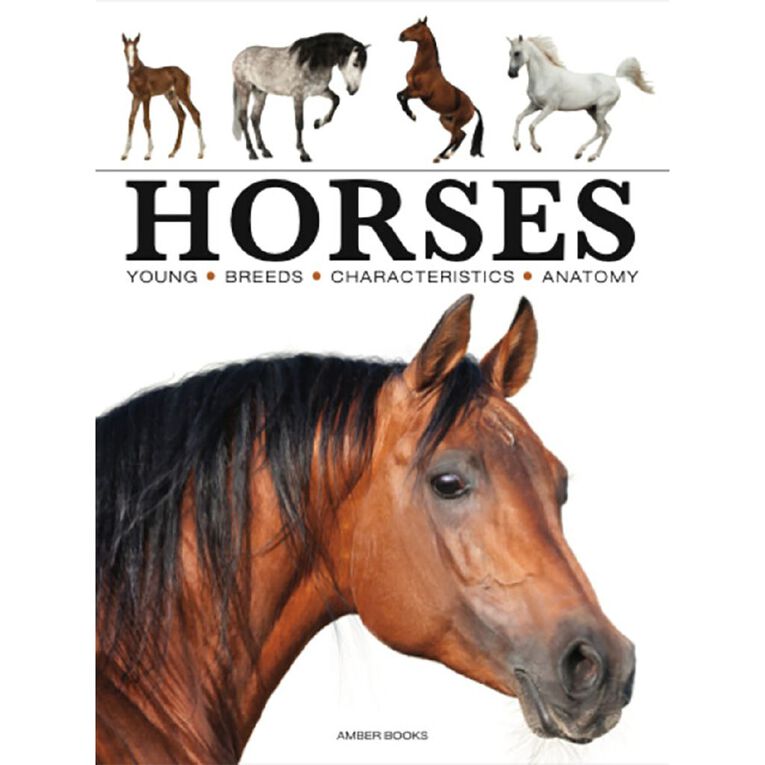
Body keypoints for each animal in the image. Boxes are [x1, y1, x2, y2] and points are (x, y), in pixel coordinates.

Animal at [232, 33, 369, 162]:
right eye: (355, 64)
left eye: (364, 67)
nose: (353, 90)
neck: (312, 60)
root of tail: (238, 57)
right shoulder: (298, 96)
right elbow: (299, 124)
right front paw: (303, 154)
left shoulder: (319, 90)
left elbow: (336, 99)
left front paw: (318, 123)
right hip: (244, 89)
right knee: (243, 118)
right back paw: (252, 152)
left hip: (260, 92)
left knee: (255, 118)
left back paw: (264, 150)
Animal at [397, 18, 484, 163]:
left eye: (416, 27)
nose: (401, 35)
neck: (424, 68)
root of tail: (473, 107)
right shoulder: (410, 88)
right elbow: (399, 95)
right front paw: (410, 114)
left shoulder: (422, 93)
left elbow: (403, 97)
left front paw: (412, 115)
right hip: (445, 120)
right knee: (461, 135)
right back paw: (447, 155)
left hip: (456, 122)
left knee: (455, 137)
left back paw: (439, 156)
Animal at [506, 35, 653, 161]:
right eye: (509, 52)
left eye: (517, 53)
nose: (511, 74)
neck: (545, 77)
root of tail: (614, 79)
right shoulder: (535, 105)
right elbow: (518, 118)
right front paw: (517, 145)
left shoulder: (549, 108)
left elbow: (531, 125)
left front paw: (536, 147)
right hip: (592, 110)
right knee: (607, 130)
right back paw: (590, 155)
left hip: (600, 111)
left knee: (602, 131)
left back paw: (583, 153)